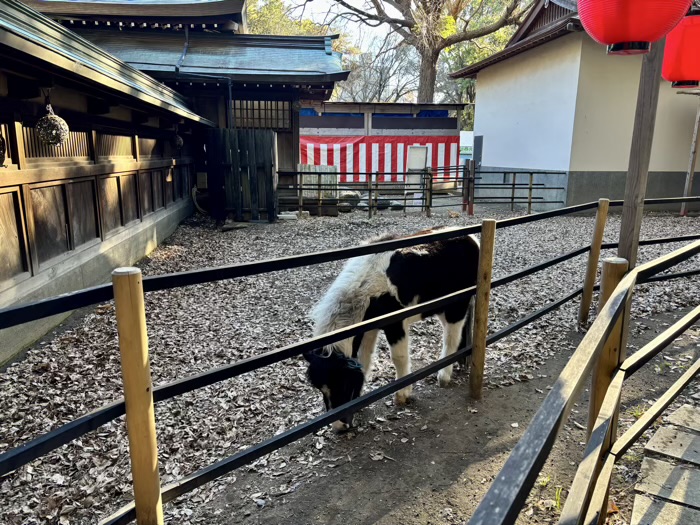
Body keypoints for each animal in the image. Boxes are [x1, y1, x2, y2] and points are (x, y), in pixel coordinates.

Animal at [306, 227, 482, 432]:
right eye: (321, 389)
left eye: (342, 383)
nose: (340, 427)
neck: (366, 286)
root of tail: (472, 239)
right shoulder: (369, 328)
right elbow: (364, 358)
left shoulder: (395, 324)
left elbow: (398, 357)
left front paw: (402, 395)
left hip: (457, 306)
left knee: (452, 337)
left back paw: (444, 377)